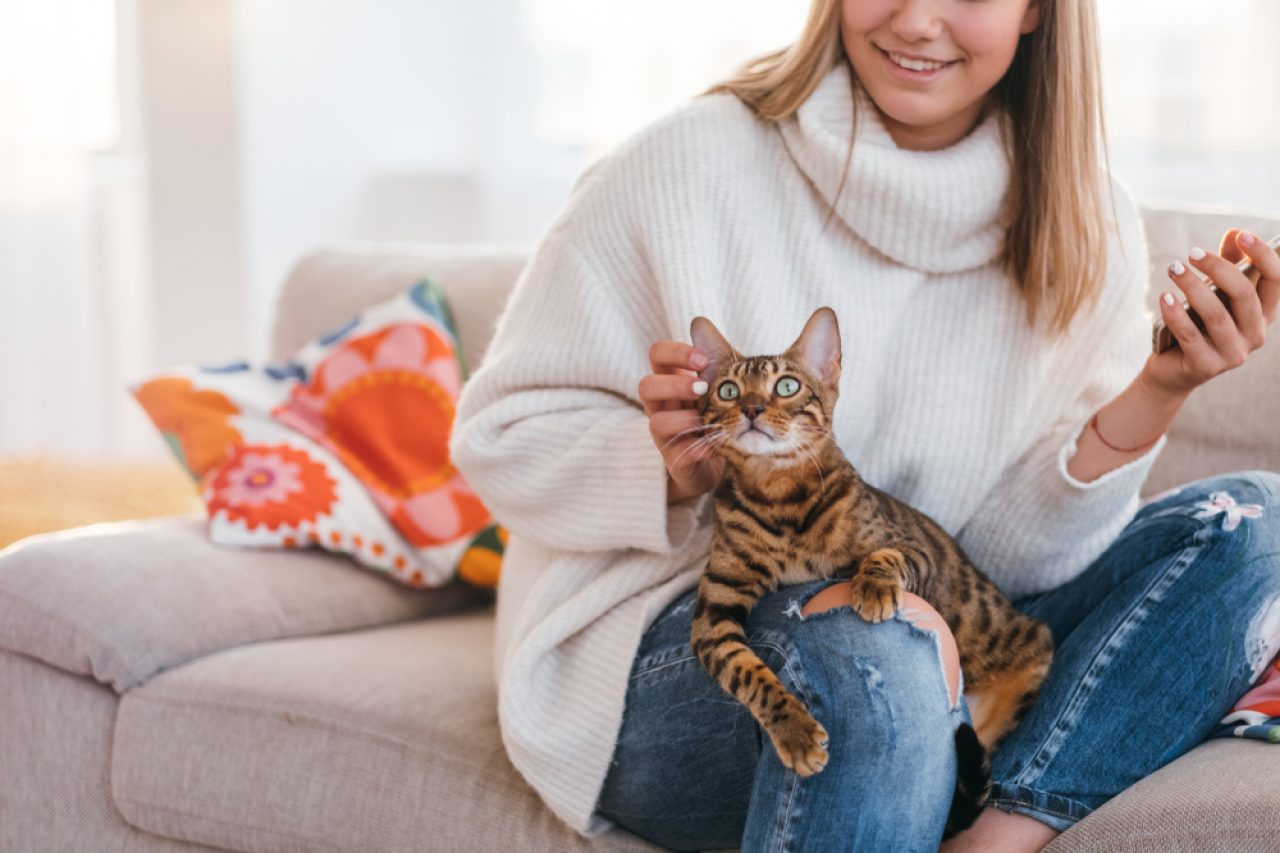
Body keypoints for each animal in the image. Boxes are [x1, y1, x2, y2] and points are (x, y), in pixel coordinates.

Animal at [686, 307, 1054, 835]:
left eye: (786, 386)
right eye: (729, 390)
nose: (752, 408)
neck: (778, 495)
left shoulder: (908, 544)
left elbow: (884, 559)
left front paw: (873, 589)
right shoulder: (713, 617)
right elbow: (746, 671)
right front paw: (795, 731)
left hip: (1019, 660)